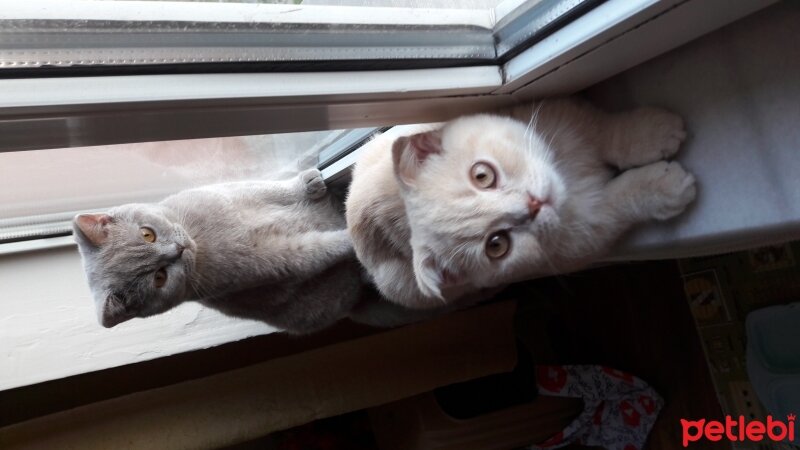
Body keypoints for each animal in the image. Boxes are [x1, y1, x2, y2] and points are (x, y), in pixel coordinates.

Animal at [73, 169, 360, 334]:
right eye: (159, 277)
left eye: (147, 234)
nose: (178, 249)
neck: (202, 239)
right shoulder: (277, 260)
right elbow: (321, 249)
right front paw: (351, 236)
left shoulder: (232, 191)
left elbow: (275, 189)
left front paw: (309, 183)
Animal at [346, 97, 696, 310]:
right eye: (497, 245)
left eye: (482, 175)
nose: (534, 205)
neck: (568, 175)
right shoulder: (589, 231)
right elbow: (623, 198)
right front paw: (664, 187)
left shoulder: (568, 118)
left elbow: (610, 133)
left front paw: (653, 132)